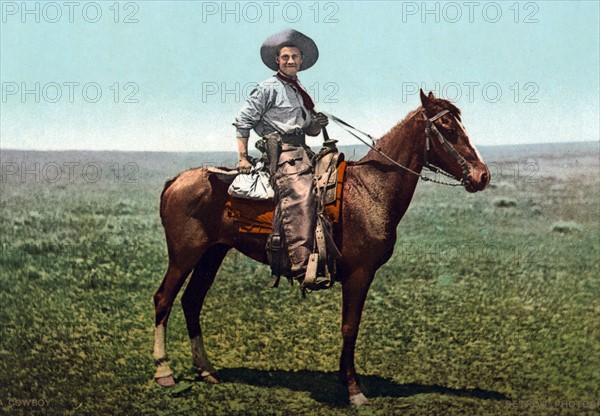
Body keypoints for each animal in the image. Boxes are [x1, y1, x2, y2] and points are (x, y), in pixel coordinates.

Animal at [152, 90, 490, 404]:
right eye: (447, 127)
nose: (482, 175)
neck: (371, 190)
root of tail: (175, 181)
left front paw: (348, 380)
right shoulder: (359, 273)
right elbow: (350, 327)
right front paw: (354, 390)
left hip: (212, 253)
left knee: (192, 301)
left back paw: (206, 370)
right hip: (184, 255)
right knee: (163, 299)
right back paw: (164, 372)